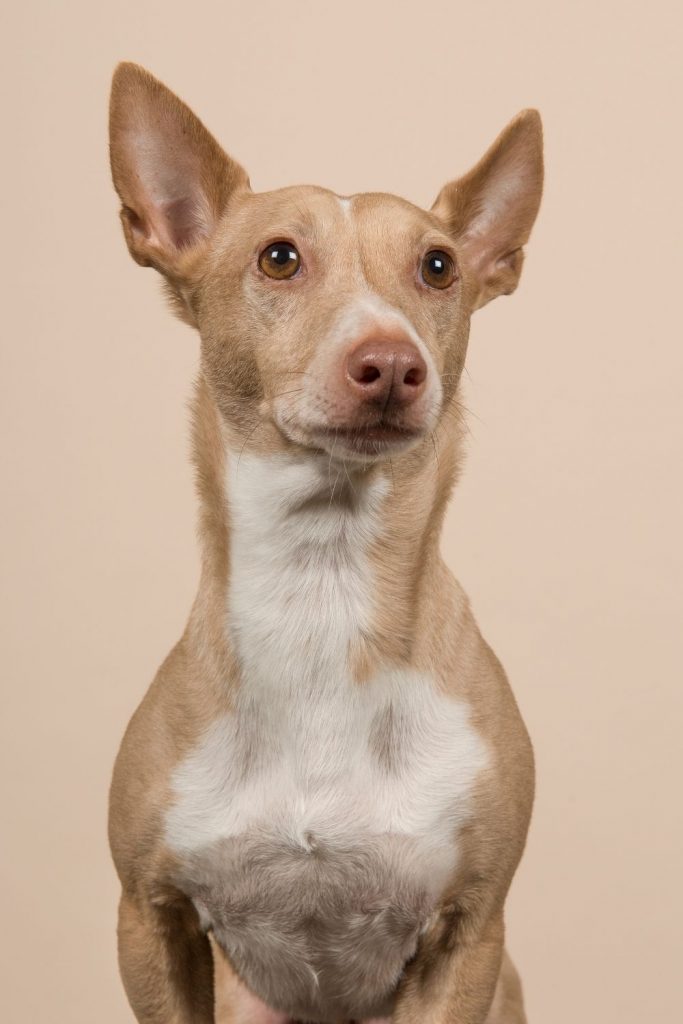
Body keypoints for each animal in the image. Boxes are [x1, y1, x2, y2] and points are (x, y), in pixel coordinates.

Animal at [107, 64, 544, 1024]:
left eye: (438, 267)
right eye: (278, 257)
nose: (391, 363)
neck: (322, 587)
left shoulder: (469, 933)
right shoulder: (148, 920)